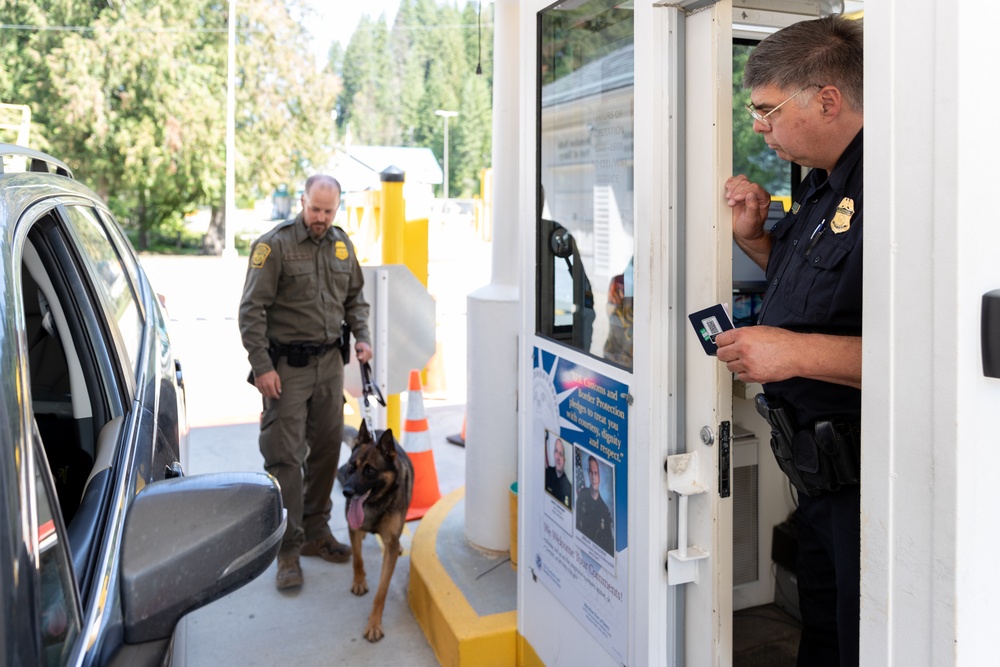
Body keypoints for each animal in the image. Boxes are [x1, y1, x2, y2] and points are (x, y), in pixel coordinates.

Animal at [340, 422, 410, 640]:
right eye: (351, 467)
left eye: (370, 470)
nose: (346, 492)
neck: (375, 503)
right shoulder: (352, 527)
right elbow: (357, 558)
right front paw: (359, 581)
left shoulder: (390, 545)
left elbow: (381, 592)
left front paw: (374, 624)